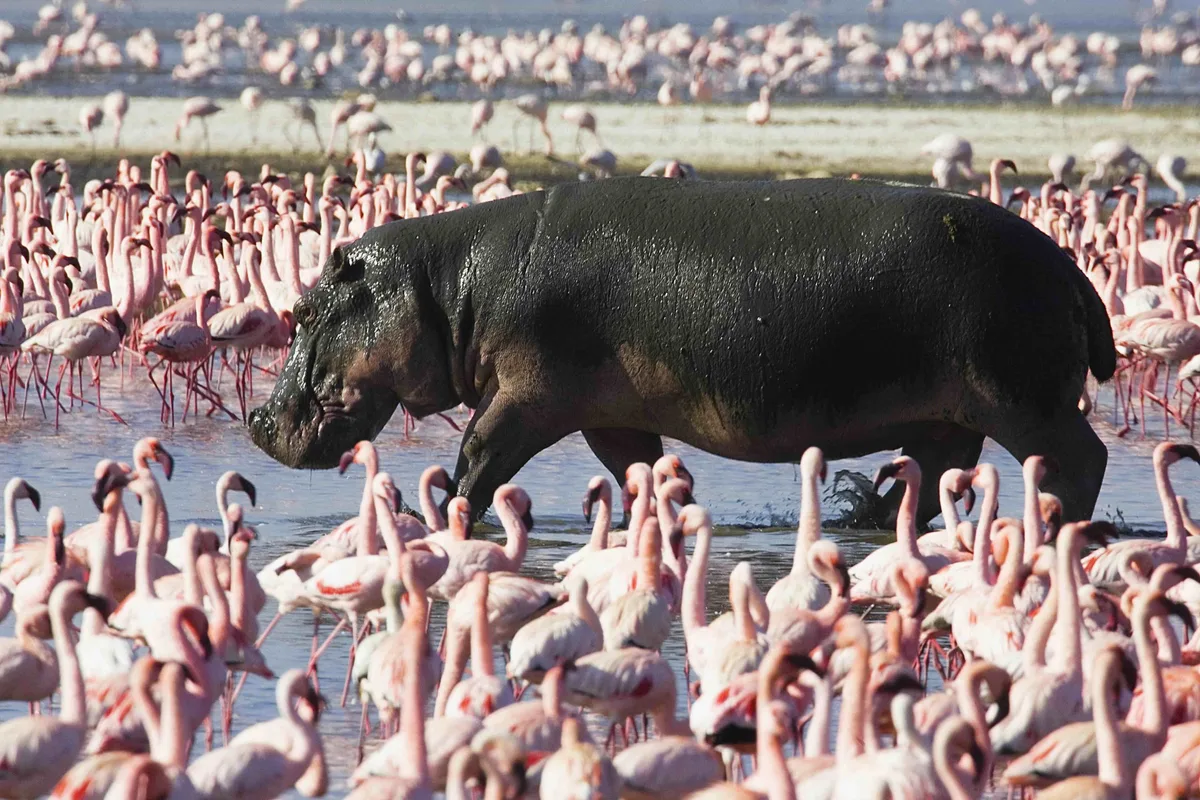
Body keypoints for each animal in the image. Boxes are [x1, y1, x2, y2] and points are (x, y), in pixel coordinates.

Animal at [249, 177, 1115, 525]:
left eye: (302, 311)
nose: (256, 420)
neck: (446, 282)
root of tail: (1069, 267)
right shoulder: (605, 411)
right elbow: (639, 468)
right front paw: (669, 513)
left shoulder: (528, 394)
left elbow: (479, 455)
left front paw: (437, 513)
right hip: (953, 413)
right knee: (930, 478)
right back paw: (866, 515)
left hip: (1019, 398)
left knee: (1083, 456)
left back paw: (1054, 519)